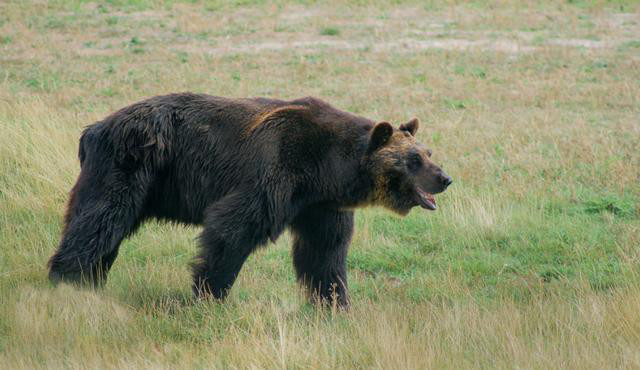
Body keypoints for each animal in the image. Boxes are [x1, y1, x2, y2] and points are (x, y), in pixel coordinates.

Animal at [48, 93, 450, 306]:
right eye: (413, 160)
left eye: (428, 152)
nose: (445, 178)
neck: (326, 169)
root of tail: (93, 128)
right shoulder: (275, 172)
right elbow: (232, 230)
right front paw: (209, 292)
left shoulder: (319, 206)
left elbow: (324, 253)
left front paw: (333, 301)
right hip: (128, 165)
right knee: (100, 219)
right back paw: (67, 279)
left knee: (105, 230)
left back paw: (90, 280)